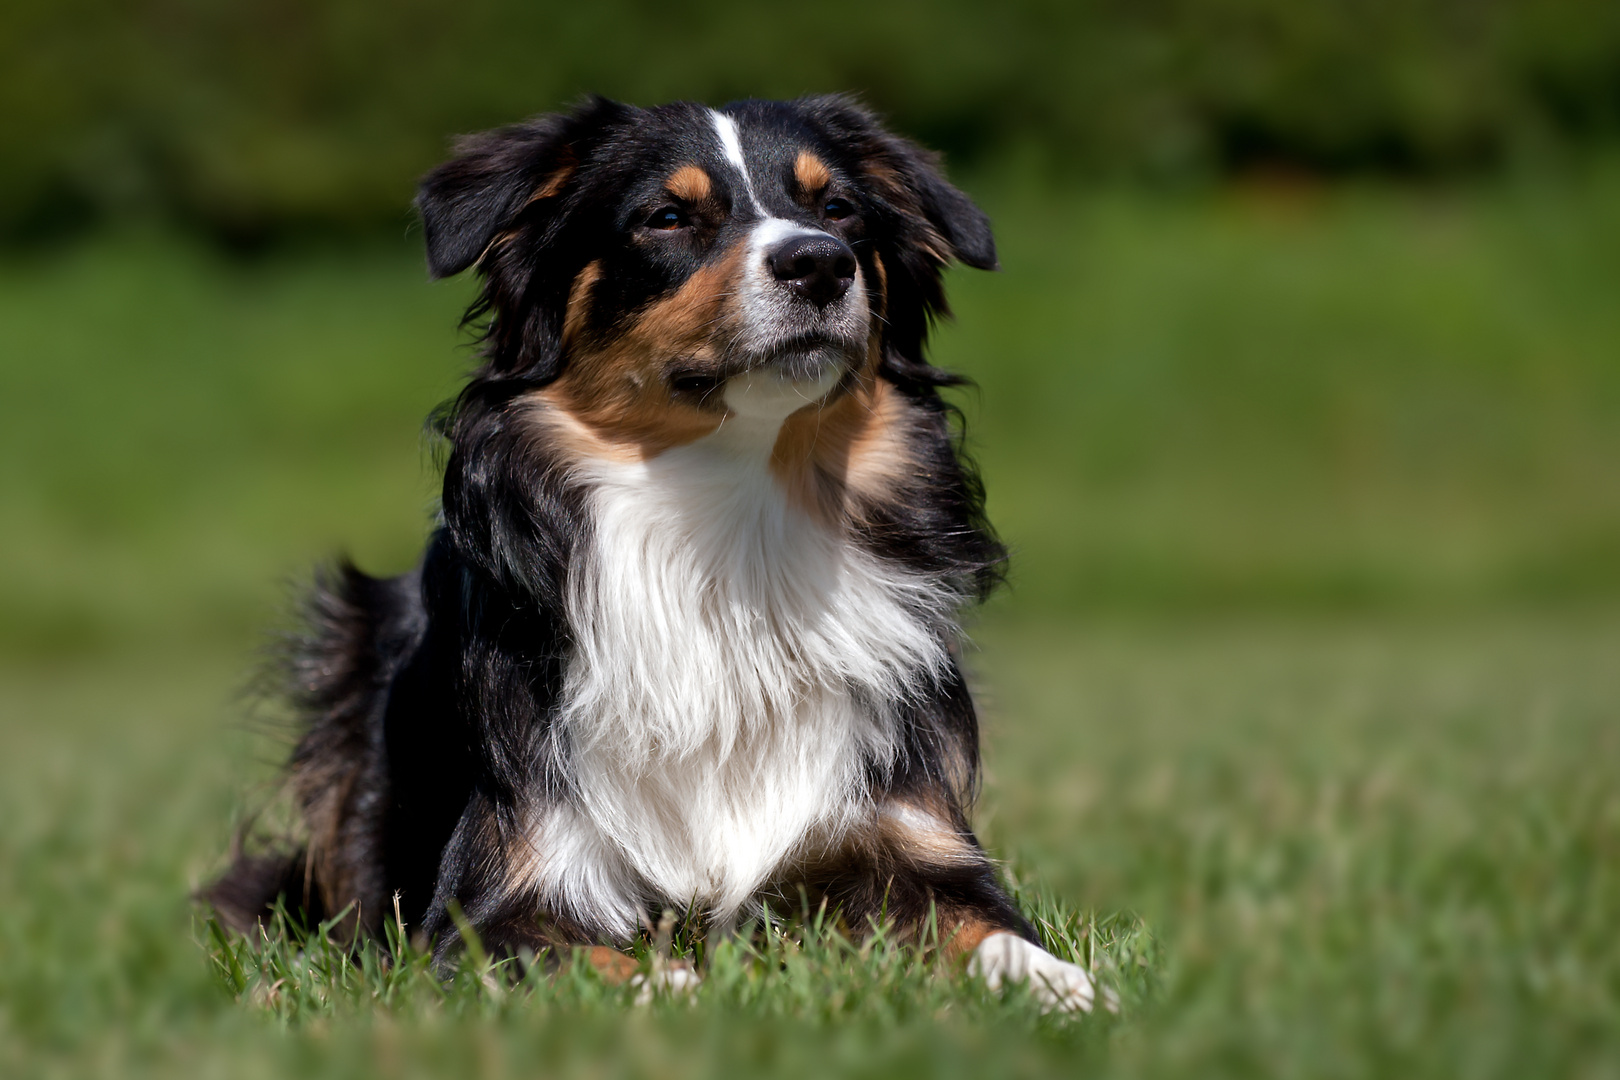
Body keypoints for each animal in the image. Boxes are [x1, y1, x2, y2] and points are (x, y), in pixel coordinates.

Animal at [208, 93, 1101, 1016]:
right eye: (666, 218)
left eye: (839, 208)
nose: (820, 264)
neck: (729, 527)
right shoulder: (490, 907)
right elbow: (605, 965)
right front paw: (684, 989)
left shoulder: (910, 838)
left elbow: (993, 933)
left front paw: (1067, 991)